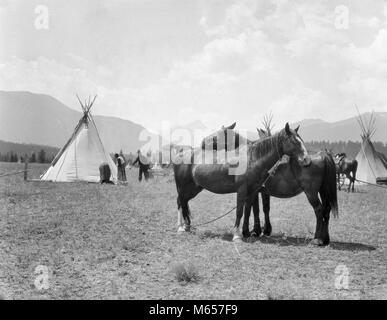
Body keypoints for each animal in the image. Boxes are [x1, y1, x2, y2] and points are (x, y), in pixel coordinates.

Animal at [174, 124, 314, 241]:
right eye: (294, 141)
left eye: (299, 140)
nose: (306, 159)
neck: (252, 158)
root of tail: (181, 154)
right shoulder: (242, 190)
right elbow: (240, 211)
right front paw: (237, 235)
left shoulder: (252, 191)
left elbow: (248, 210)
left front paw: (247, 232)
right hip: (183, 187)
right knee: (180, 202)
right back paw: (181, 227)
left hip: (194, 188)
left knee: (184, 202)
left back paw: (187, 226)